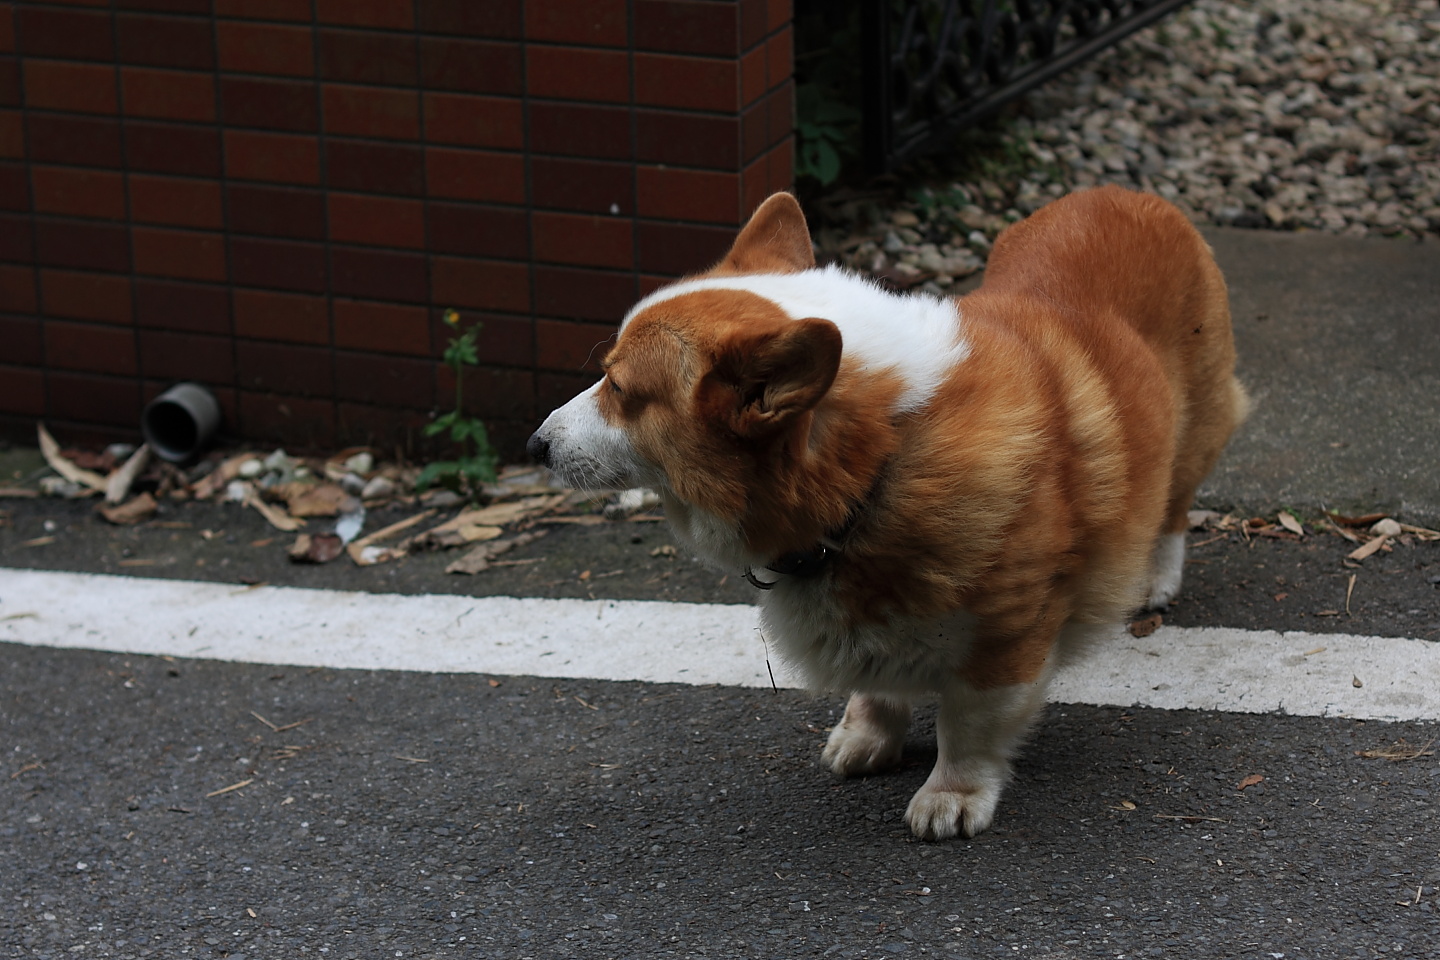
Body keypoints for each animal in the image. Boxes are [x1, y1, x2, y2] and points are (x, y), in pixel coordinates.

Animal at [529, 184, 1249, 834]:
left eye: (621, 389)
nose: (534, 446)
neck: (879, 466)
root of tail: (1130, 194)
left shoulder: (1008, 638)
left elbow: (969, 726)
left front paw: (952, 797)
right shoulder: (874, 622)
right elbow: (878, 686)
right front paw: (867, 736)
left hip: (1194, 430)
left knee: (1173, 506)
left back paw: (1155, 579)